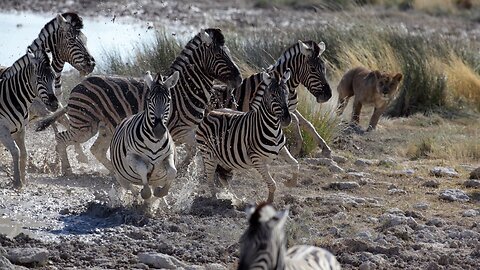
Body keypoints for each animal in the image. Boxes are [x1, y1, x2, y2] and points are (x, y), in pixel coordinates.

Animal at [0, 12, 96, 163]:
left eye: (85, 40)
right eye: (72, 41)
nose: (91, 64)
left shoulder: (55, 104)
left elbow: (64, 120)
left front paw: (75, 153)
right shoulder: (42, 108)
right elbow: (63, 121)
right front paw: (77, 154)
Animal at [0, 47, 58, 189]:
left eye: (54, 77)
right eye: (39, 78)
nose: (54, 104)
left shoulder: (20, 130)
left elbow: (24, 153)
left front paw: (24, 179)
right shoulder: (2, 130)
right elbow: (15, 151)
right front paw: (17, 181)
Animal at [35, 27, 242, 175]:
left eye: (230, 53)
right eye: (220, 55)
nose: (239, 79)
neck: (185, 90)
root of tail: (80, 84)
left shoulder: (188, 131)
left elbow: (193, 151)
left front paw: (182, 169)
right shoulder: (178, 131)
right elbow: (192, 150)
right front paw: (180, 170)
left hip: (105, 127)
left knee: (96, 150)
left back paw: (114, 172)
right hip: (86, 126)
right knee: (62, 139)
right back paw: (67, 170)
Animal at [109, 70, 179, 201]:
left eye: (169, 100)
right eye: (148, 100)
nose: (158, 131)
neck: (155, 142)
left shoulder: (169, 155)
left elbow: (173, 171)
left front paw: (161, 192)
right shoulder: (131, 156)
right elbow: (143, 170)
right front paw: (145, 192)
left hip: (156, 179)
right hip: (120, 177)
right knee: (129, 187)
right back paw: (137, 196)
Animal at [195, 68, 296, 204]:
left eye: (287, 95)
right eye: (273, 95)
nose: (287, 120)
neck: (273, 128)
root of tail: (210, 113)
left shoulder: (282, 149)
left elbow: (295, 164)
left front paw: (291, 183)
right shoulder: (256, 159)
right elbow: (272, 184)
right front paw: (268, 202)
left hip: (226, 158)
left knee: (223, 177)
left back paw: (237, 200)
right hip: (208, 155)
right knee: (210, 178)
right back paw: (215, 200)